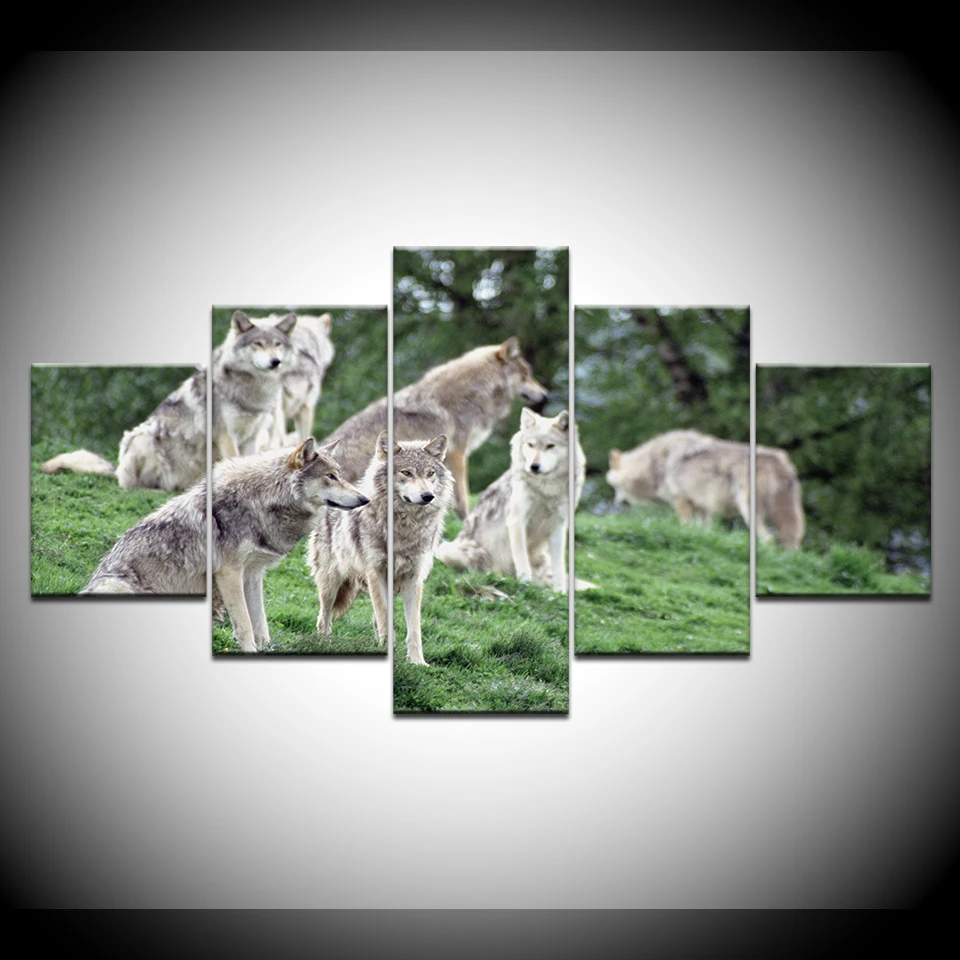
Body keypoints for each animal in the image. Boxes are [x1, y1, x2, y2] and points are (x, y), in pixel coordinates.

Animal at [308, 432, 454, 666]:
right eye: (406, 472)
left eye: (430, 473)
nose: (427, 496)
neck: (404, 529)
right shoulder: (376, 573)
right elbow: (386, 619)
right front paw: (390, 652)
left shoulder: (414, 578)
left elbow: (414, 629)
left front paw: (417, 662)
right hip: (330, 583)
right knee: (324, 617)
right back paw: (324, 643)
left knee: (375, 620)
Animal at [436, 408, 585, 592]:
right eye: (530, 445)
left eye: (550, 446)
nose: (534, 466)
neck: (546, 488)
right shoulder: (517, 520)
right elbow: (521, 559)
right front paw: (525, 583)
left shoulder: (558, 527)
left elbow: (559, 567)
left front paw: (559, 592)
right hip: (453, 550)